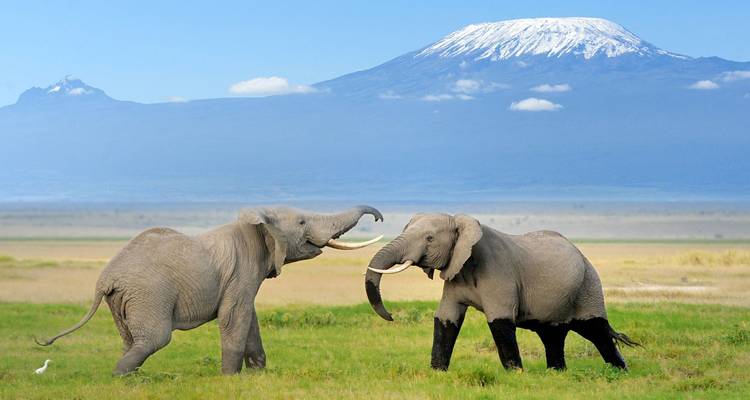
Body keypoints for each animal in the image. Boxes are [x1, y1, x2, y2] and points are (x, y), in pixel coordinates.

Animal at [36, 206, 383, 375]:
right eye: (301, 223)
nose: (379, 217)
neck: (256, 223)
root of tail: (104, 280)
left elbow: (248, 318)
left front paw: (258, 376)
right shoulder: (242, 270)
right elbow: (235, 317)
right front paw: (230, 379)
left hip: (123, 300)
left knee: (131, 340)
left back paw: (131, 377)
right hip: (148, 294)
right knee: (154, 339)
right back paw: (121, 378)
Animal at [365, 213, 637, 372]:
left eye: (429, 238)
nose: (391, 316)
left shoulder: (499, 273)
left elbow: (500, 321)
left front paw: (516, 374)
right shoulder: (455, 272)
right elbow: (446, 319)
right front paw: (437, 372)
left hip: (588, 285)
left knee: (596, 330)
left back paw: (619, 371)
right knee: (553, 335)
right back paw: (556, 373)